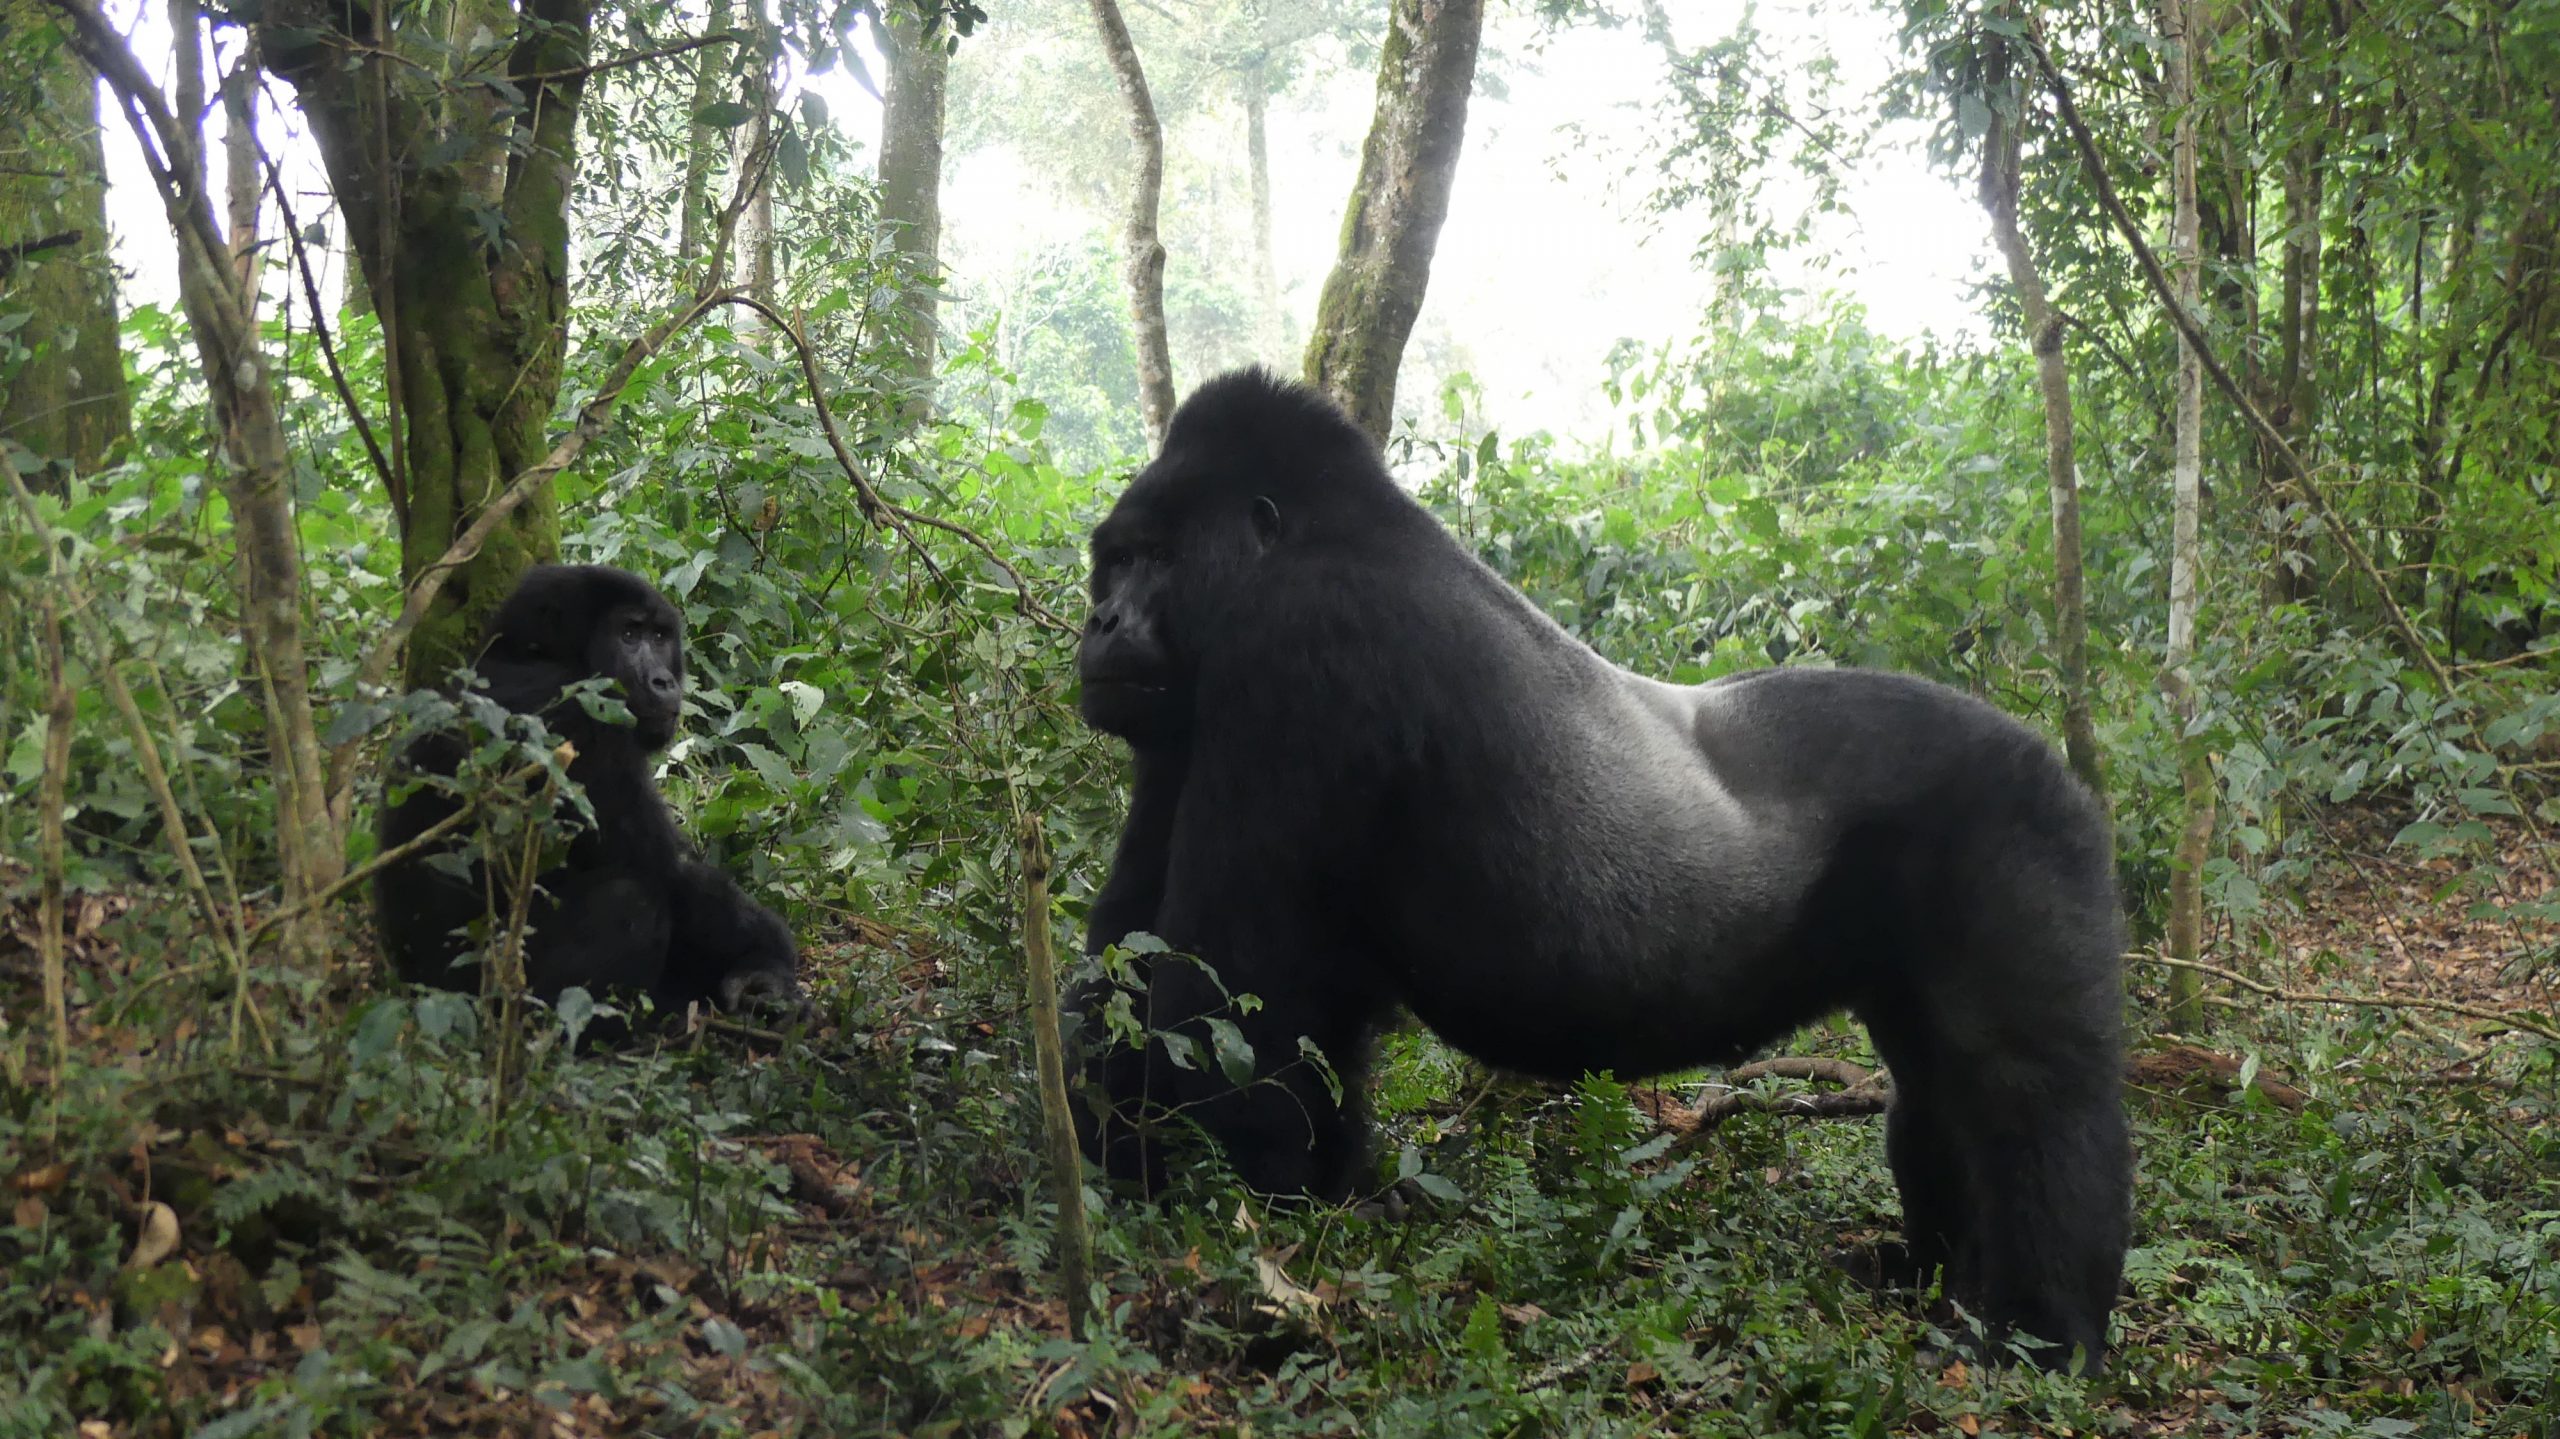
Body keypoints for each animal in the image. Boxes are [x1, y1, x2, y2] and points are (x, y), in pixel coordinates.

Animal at [373, 560, 798, 1019]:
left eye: (659, 637)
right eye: (628, 634)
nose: (664, 682)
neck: (537, 655)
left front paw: (761, 971)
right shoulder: (583, 720)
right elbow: (666, 872)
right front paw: (767, 958)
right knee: (629, 899)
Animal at [1080, 363, 2140, 1362]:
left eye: (1155, 560)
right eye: (1110, 564)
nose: (1098, 626)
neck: (1290, 546)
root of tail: (2057, 765)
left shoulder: (1300, 653)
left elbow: (1230, 997)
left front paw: (1242, 1221)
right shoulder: (1185, 717)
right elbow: (1138, 960)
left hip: (2016, 826)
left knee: (2027, 1086)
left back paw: (2042, 1327)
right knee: (1936, 1085)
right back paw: (1930, 1277)